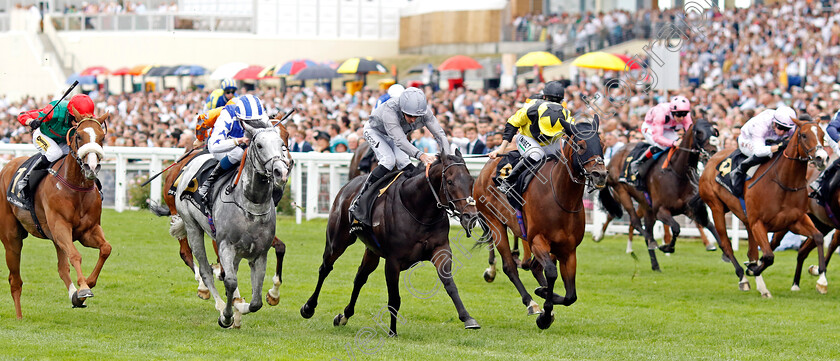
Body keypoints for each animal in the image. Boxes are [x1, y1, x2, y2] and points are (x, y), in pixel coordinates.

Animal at [0, 111, 110, 316]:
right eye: (79, 136)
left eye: (102, 137)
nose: (91, 167)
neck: (75, 186)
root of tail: (7, 166)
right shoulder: (60, 226)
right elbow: (75, 255)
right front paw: (84, 289)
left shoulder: (88, 230)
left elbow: (106, 249)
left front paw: (84, 288)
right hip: (12, 237)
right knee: (15, 280)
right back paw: (19, 317)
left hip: (53, 237)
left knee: (62, 268)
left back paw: (74, 295)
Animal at [300, 150, 486, 334]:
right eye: (450, 181)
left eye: (471, 181)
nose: (471, 216)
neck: (418, 209)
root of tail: (349, 184)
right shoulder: (393, 261)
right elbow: (394, 298)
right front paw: (392, 331)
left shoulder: (441, 249)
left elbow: (449, 283)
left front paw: (468, 318)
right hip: (338, 240)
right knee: (325, 268)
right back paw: (309, 307)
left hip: (372, 251)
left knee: (360, 277)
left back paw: (344, 316)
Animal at [472, 115, 604, 330]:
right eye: (581, 145)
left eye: (602, 144)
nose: (600, 174)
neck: (561, 197)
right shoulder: (536, 240)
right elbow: (551, 272)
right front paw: (544, 314)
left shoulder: (568, 250)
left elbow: (570, 296)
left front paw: (545, 296)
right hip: (494, 223)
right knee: (510, 267)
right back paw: (531, 302)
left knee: (534, 267)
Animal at [592, 118, 720, 270]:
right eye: (699, 132)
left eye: (714, 131)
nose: (713, 151)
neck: (677, 172)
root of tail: (612, 158)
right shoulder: (661, 210)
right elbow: (676, 227)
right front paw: (667, 247)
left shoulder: (688, 207)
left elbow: (707, 224)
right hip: (622, 192)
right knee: (635, 222)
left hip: (645, 206)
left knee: (631, 222)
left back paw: (653, 263)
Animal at [696, 116, 828, 296]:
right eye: (804, 135)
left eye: (822, 135)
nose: (822, 158)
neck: (783, 182)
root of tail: (711, 158)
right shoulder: (758, 223)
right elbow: (768, 256)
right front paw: (751, 270)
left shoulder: (795, 221)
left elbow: (819, 237)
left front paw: (822, 280)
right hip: (716, 207)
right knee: (726, 245)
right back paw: (744, 279)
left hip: (746, 220)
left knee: (751, 251)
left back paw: (761, 286)